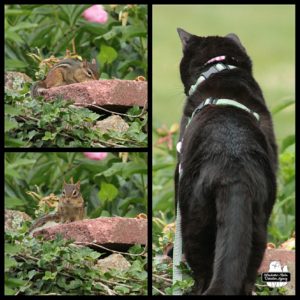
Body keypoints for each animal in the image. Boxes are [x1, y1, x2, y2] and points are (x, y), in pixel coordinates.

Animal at [175, 28, 278, 296]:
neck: (220, 68)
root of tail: (233, 172)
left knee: (203, 272)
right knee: (245, 276)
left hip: (194, 221)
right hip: (258, 227)